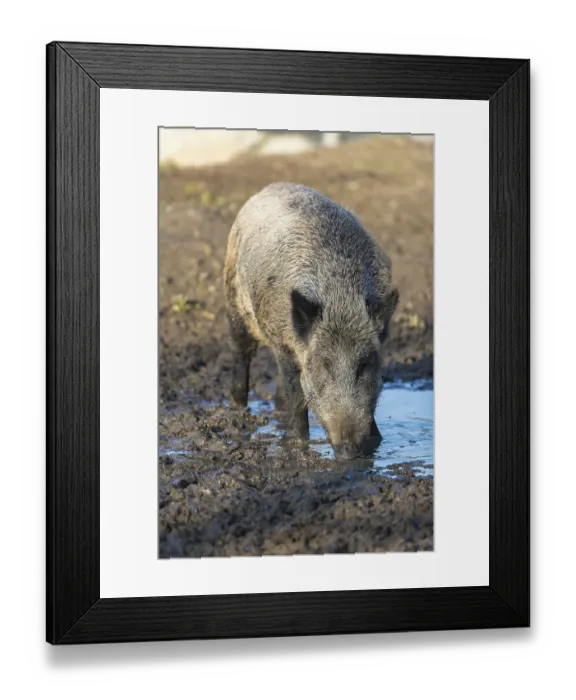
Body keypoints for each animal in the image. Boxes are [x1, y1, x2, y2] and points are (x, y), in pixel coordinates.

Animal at [224, 182, 399, 459]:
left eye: (364, 365)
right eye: (325, 365)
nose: (349, 450)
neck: (340, 297)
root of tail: (270, 187)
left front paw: (376, 441)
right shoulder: (283, 342)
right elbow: (297, 391)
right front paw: (296, 444)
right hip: (234, 300)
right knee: (242, 353)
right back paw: (238, 407)